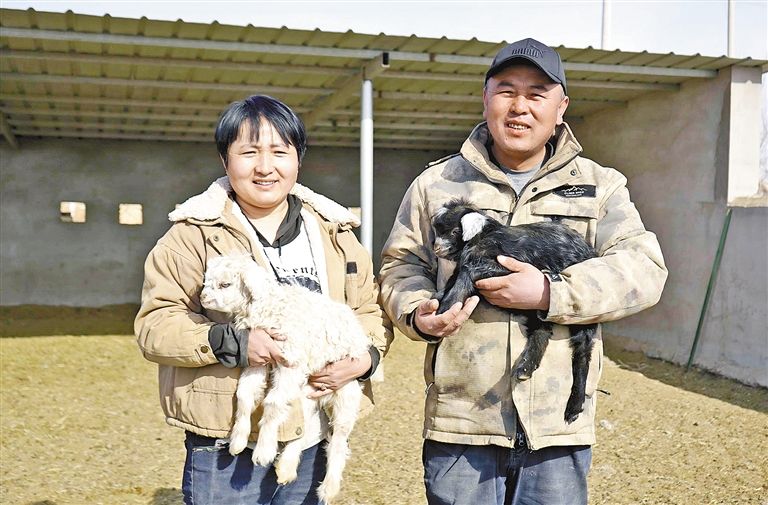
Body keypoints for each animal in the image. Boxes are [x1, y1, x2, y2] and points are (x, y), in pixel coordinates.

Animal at [199, 255, 371, 504]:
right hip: (306, 389)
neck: (270, 307)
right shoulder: (258, 358)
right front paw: (238, 441)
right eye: (207, 281)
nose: (202, 298)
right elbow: (244, 394)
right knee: (303, 427)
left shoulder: (289, 362)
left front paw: (263, 451)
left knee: (338, 440)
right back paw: (286, 468)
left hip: (346, 389)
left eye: (225, 284)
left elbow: (272, 403)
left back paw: (327, 488)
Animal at [431, 198, 597, 423]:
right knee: (542, 331)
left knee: (582, 351)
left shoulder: (507, 266)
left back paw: (574, 406)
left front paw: (445, 309)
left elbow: (465, 275)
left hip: (579, 314)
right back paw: (525, 368)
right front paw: (435, 305)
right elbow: (450, 283)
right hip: (537, 307)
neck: (483, 237)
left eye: (455, 231)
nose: (436, 247)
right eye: (438, 229)